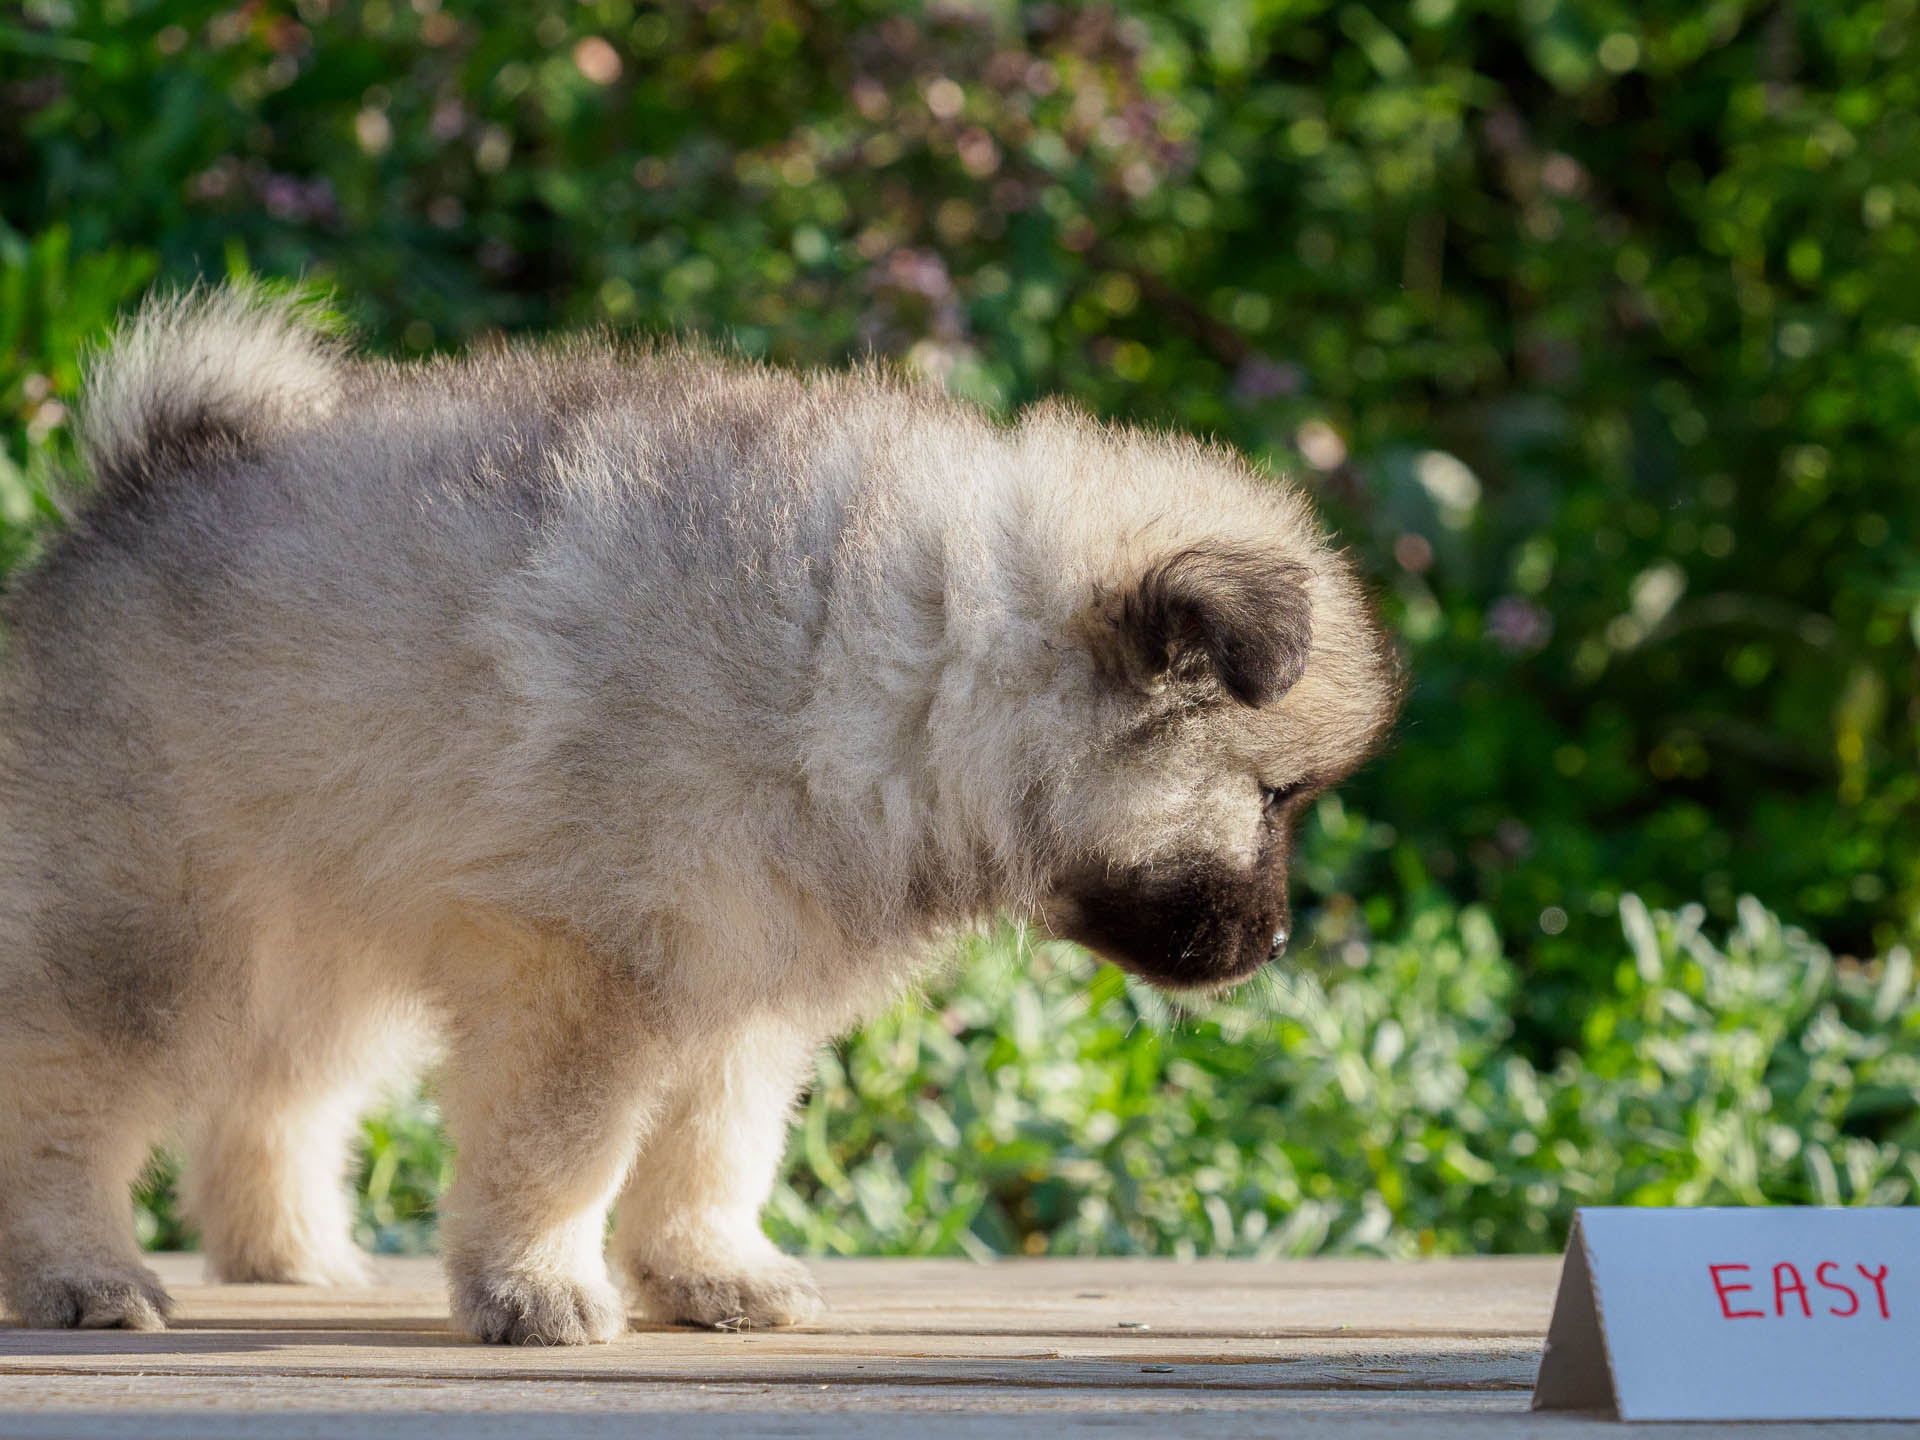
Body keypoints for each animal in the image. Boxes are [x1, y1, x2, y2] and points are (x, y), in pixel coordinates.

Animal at [0, 288, 1397, 1351]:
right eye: (1275, 796)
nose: (1278, 945)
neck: (907, 666)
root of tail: (122, 500)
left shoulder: (742, 985)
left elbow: (714, 1150)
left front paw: (708, 1272)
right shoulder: (588, 972)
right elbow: (564, 1152)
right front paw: (539, 1287)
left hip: (318, 928)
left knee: (279, 1095)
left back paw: (292, 1257)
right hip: (140, 925)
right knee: (60, 1104)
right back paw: (82, 1274)